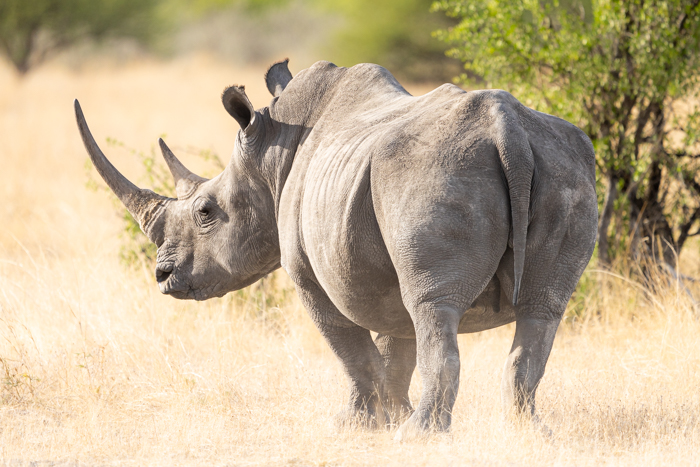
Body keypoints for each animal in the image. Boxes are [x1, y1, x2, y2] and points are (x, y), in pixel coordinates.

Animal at [74, 59, 597, 439]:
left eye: (206, 211)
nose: (163, 276)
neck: (270, 154)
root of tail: (507, 129)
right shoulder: (379, 266)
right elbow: (395, 343)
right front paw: (389, 415)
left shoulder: (306, 273)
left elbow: (352, 350)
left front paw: (361, 425)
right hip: (563, 164)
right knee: (540, 309)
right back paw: (528, 434)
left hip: (433, 170)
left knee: (434, 306)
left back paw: (421, 436)